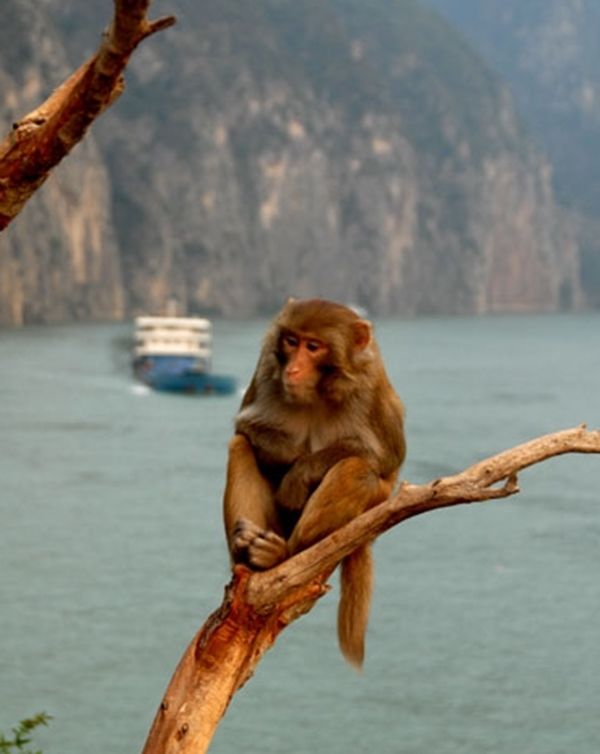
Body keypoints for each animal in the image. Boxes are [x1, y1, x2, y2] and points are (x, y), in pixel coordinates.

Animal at [223, 298, 405, 667]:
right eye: (291, 341)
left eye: (313, 347)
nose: (293, 369)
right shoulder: (266, 367)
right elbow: (245, 428)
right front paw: (289, 458)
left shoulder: (369, 384)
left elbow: (387, 457)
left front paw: (299, 473)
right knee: (240, 447)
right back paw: (249, 554)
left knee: (358, 471)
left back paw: (284, 554)